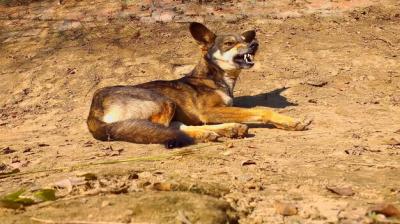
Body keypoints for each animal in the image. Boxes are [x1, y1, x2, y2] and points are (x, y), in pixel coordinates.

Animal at [86, 22, 312, 149]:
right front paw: (289, 121)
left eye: (244, 39)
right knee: (165, 130)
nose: (255, 44)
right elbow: (262, 111)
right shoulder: (209, 111)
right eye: (229, 43)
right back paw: (214, 132)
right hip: (164, 101)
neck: (216, 77)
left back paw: (227, 129)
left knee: (176, 128)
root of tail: (94, 108)